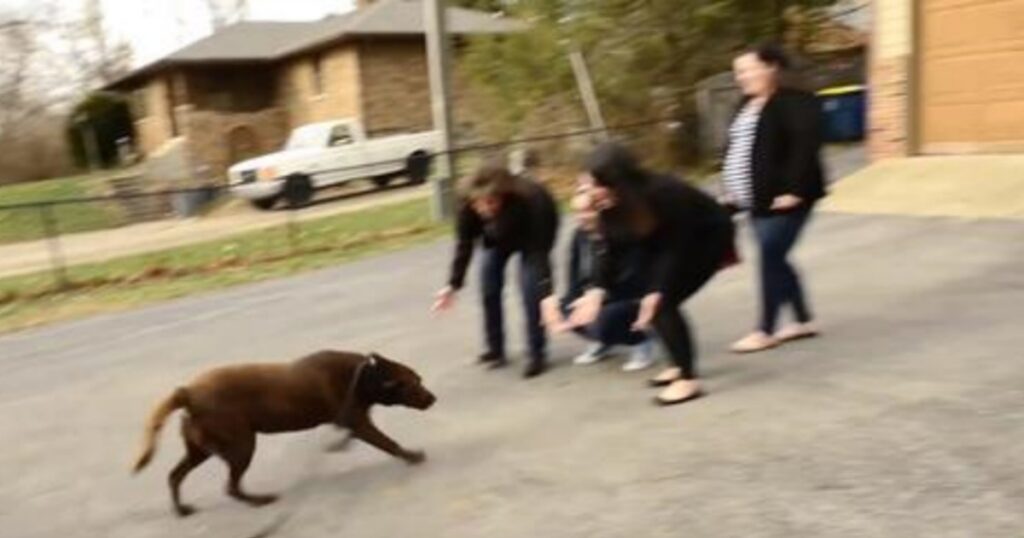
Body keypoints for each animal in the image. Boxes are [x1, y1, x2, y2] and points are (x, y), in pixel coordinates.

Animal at [130, 348, 434, 516]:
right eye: (415, 383)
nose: (433, 398)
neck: (365, 375)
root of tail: (187, 393)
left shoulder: (354, 421)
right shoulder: (359, 424)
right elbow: (389, 442)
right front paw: (412, 456)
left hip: (200, 449)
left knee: (174, 476)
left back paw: (182, 510)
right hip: (241, 444)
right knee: (230, 486)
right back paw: (259, 501)